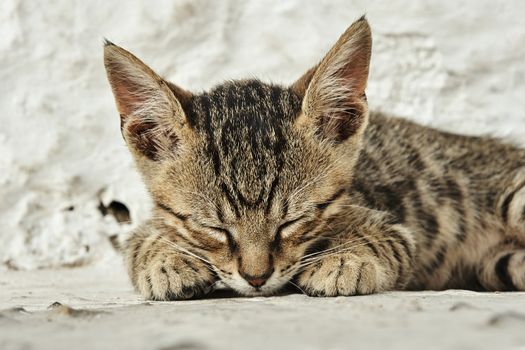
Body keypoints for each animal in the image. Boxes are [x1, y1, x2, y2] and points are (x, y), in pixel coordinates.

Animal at [102, 16, 524, 300]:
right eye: (214, 228)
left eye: (293, 222)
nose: (256, 278)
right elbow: (139, 240)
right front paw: (166, 260)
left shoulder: (395, 226)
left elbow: (382, 238)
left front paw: (344, 260)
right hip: (498, 265)